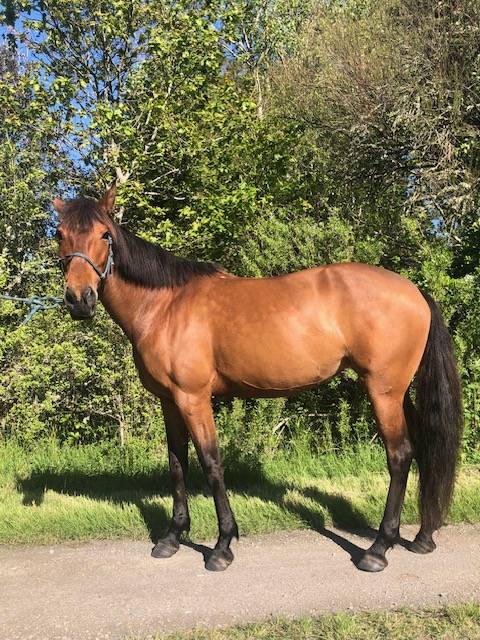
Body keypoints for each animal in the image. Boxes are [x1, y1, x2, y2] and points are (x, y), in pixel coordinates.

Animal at [54, 186, 463, 573]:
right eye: (59, 234)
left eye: (105, 235)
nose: (79, 300)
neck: (165, 305)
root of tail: (414, 291)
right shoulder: (169, 401)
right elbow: (177, 464)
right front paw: (171, 538)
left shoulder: (193, 398)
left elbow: (211, 463)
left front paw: (222, 546)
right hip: (398, 392)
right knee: (423, 449)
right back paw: (423, 536)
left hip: (383, 391)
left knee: (400, 455)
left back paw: (378, 549)